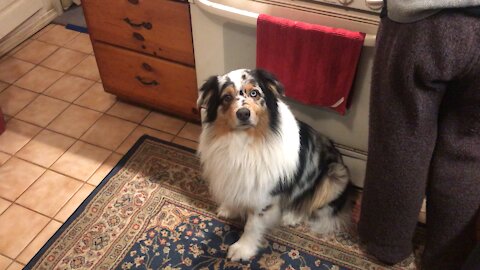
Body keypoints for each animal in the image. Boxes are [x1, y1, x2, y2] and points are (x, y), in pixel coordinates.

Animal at [196, 68, 352, 260]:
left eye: (254, 93)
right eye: (226, 97)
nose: (243, 113)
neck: (245, 141)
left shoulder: (264, 195)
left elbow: (253, 224)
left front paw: (243, 248)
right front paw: (230, 208)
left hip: (335, 176)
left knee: (313, 205)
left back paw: (292, 216)